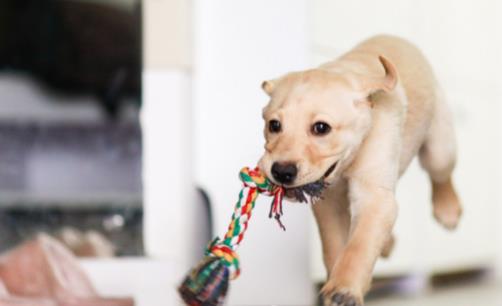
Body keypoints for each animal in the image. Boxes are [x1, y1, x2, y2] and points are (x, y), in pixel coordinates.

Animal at [258, 35, 462, 306]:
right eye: (274, 125)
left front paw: (344, 289)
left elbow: (360, 244)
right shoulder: (328, 203)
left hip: (440, 144)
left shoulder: (374, 196)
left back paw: (448, 209)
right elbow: (335, 245)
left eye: (321, 128)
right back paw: (387, 243)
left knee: (441, 174)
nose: (281, 171)